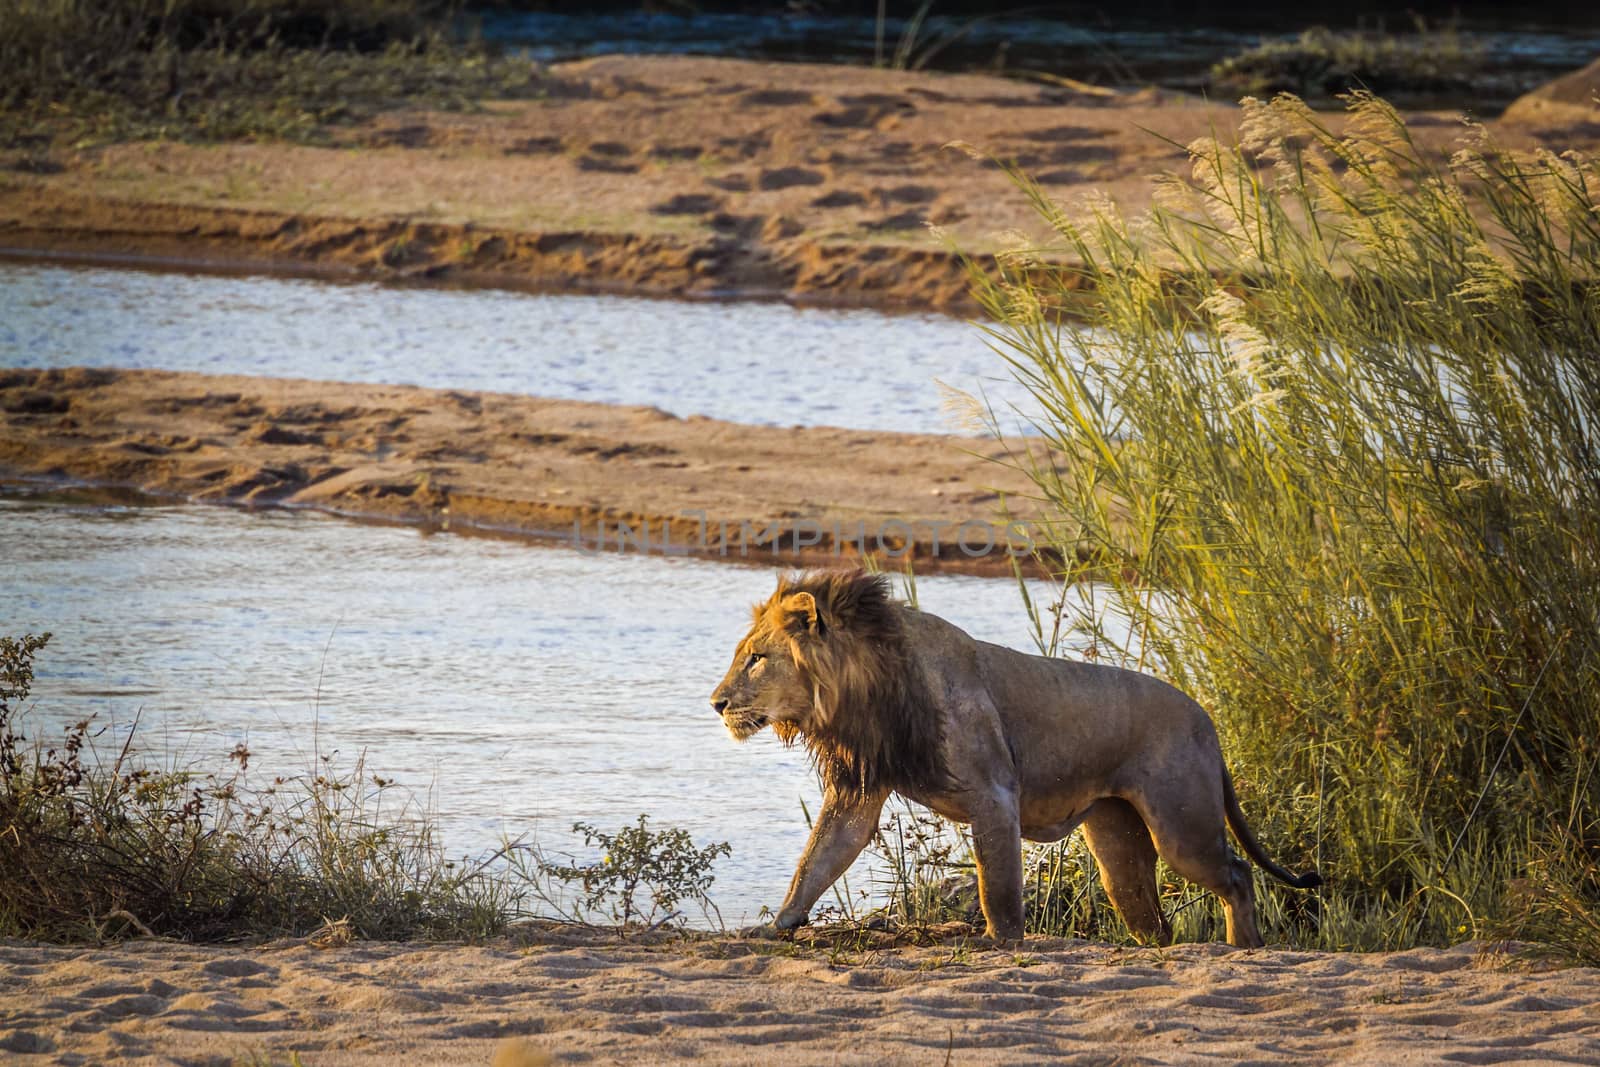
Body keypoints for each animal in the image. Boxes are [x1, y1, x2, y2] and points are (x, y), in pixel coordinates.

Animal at [713, 572, 1324, 947]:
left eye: (756, 659)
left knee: (1238, 874)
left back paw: (1244, 947)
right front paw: (773, 927)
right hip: (1120, 848)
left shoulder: (994, 794)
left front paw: (1000, 941)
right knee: (1151, 920)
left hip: (1182, 828)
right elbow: (816, 862)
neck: (863, 692)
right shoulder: (858, 791)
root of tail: (1206, 718)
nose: (716, 703)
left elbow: (998, 881)